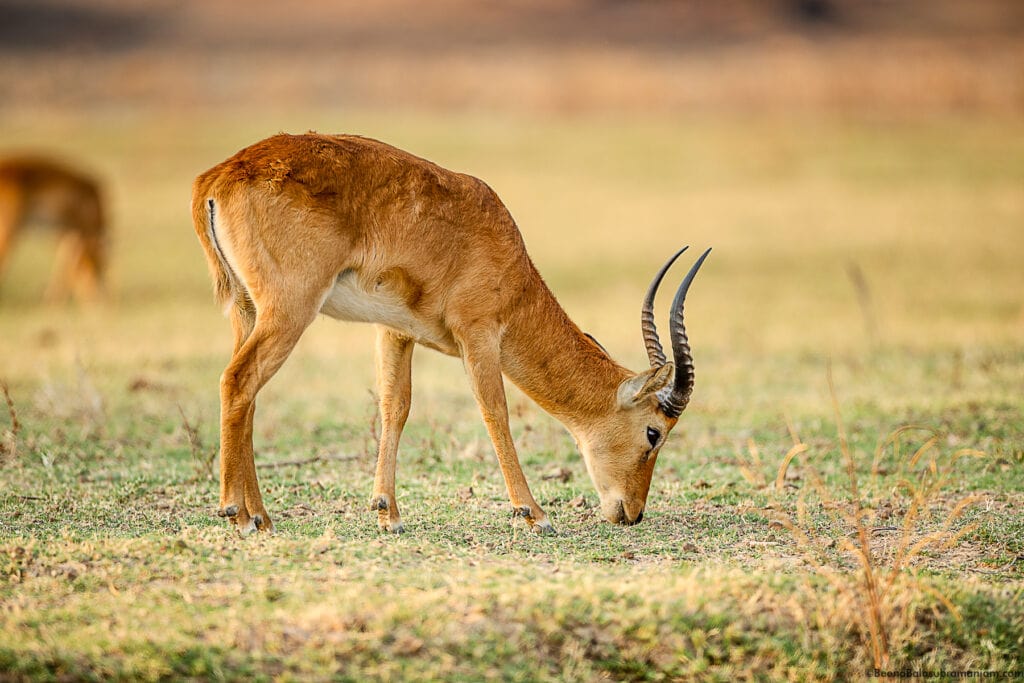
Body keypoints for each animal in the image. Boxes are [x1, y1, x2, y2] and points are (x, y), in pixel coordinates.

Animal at [192, 133, 708, 536]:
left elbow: (395, 407)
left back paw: (262, 516)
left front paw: (388, 513)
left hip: (247, 310)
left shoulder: (394, 331)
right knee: (237, 381)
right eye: (654, 433)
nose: (632, 514)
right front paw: (534, 514)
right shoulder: (478, 335)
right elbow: (495, 411)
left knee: (247, 396)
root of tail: (216, 180)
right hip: (290, 311)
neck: (505, 256)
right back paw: (237, 513)